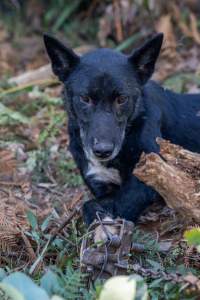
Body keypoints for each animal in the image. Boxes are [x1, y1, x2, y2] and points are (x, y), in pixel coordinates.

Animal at [43, 33, 200, 225]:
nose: (103, 151)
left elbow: (103, 206)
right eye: (85, 98)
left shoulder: (150, 179)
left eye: (122, 99)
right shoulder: (99, 181)